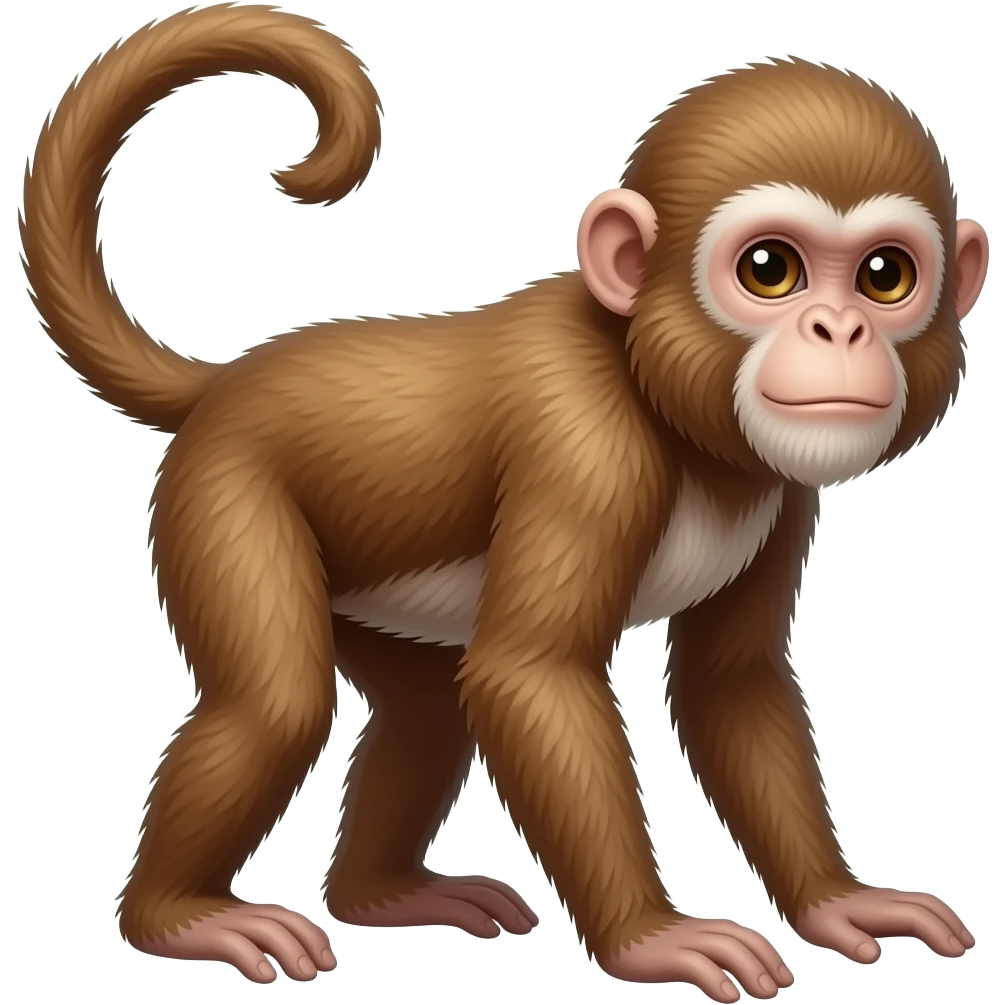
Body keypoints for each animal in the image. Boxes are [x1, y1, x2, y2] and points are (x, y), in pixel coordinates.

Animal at [18, 4, 989, 998]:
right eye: (769, 269)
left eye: (883, 276)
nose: (838, 330)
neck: (662, 399)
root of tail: (225, 385)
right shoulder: (583, 448)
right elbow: (532, 676)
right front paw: (649, 936)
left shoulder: (786, 492)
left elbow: (730, 686)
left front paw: (835, 901)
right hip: (222, 490)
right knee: (276, 702)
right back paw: (178, 915)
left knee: (424, 712)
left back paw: (381, 894)